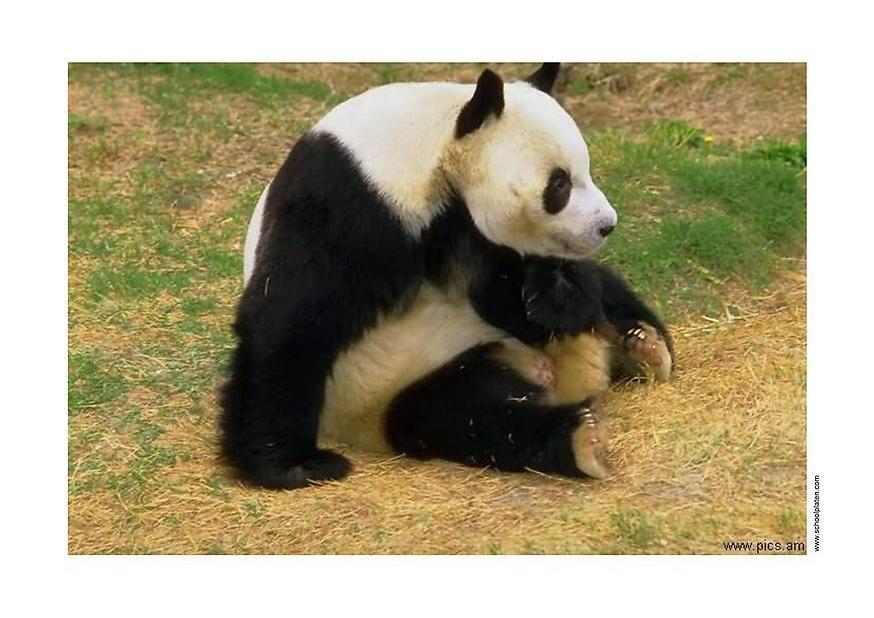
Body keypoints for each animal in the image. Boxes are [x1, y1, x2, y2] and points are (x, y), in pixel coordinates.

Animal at [222, 63, 674, 490]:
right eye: (559, 184)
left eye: (587, 171)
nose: (606, 225)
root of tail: (567, 377)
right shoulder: (350, 205)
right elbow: (293, 320)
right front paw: (293, 465)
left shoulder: (471, 231)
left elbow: (524, 300)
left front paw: (551, 295)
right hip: (395, 379)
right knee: (464, 416)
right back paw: (583, 438)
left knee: (607, 291)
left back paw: (641, 344)